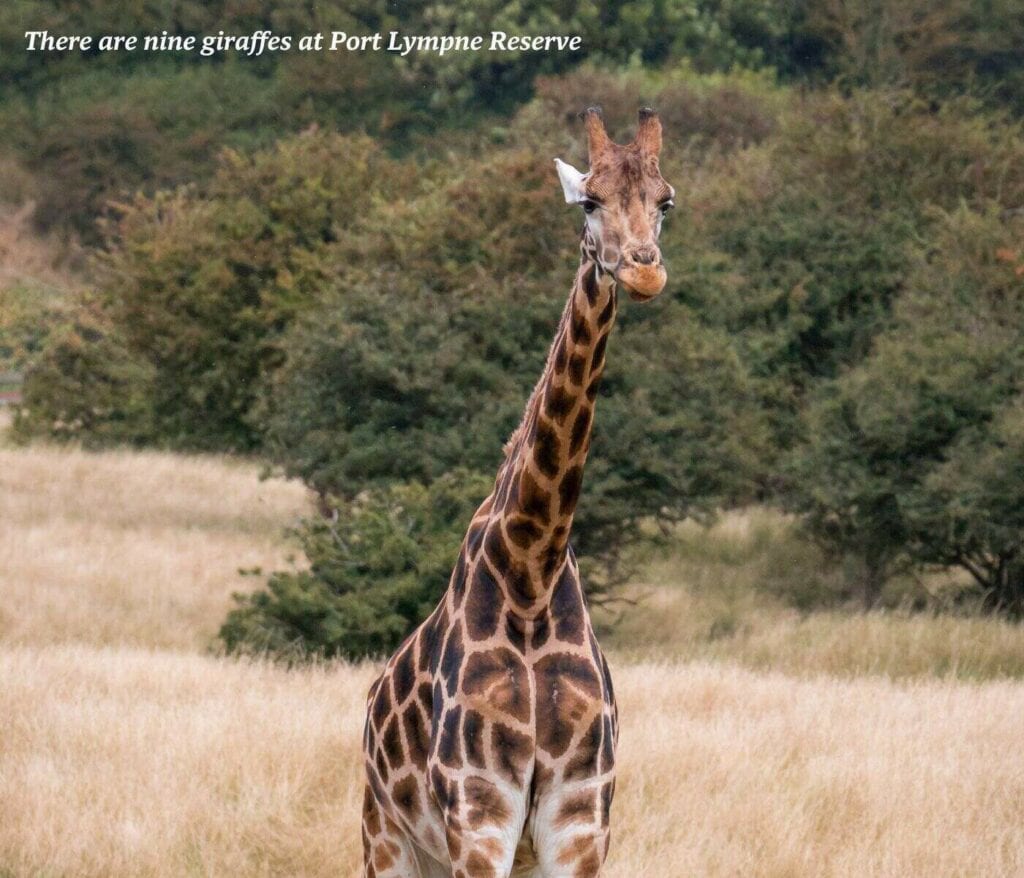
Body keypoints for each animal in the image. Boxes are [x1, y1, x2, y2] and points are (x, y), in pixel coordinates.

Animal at [361, 106, 674, 878]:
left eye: (666, 201)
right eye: (589, 201)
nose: (644, 269)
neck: (531, 570)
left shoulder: (579, 820)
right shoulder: (479, 815)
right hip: (387, 839)